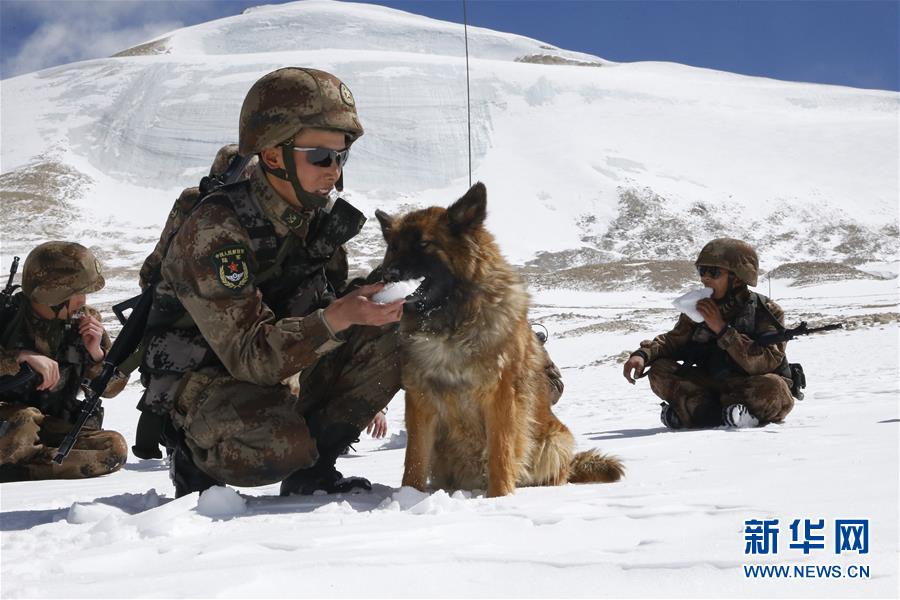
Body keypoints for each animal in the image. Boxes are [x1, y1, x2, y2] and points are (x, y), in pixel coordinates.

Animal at [376, 182, 624, 496]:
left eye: (423, 244)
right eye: (393, 247)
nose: (386, 276)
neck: (451, 322)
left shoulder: (501, 396)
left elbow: (500, 453)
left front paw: (499, 498)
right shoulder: (420, 398)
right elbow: (415, 459)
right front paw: (410, 496)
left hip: (555, 441)